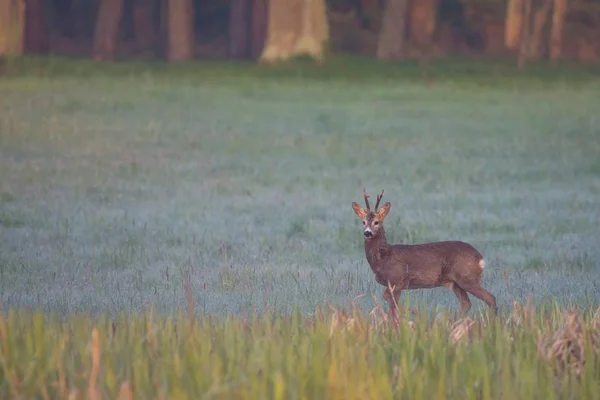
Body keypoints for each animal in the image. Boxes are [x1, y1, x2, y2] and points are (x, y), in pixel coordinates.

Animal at [352, 189, 496, 318]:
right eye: (363, 222)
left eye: (377, 222)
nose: (367, 233)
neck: (383, 258)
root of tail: (480, 258)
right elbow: (390, 304)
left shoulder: (396, 280)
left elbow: (391, 305)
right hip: (456, 283)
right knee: (466, 303)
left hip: (467, 278)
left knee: (490, 298)